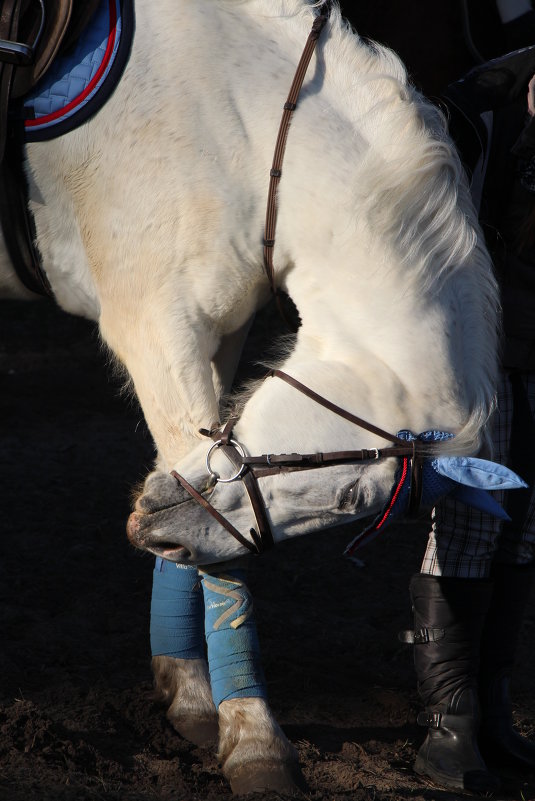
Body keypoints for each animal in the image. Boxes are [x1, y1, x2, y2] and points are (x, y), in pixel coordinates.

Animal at [2, 0, 500, 792]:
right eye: (354, 497)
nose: (157, 529)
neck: (233, 119)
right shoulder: (154, 325)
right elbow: (221, 547)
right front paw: (254, 739)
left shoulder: (220, 329)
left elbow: (187, 485)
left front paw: (188, 695)